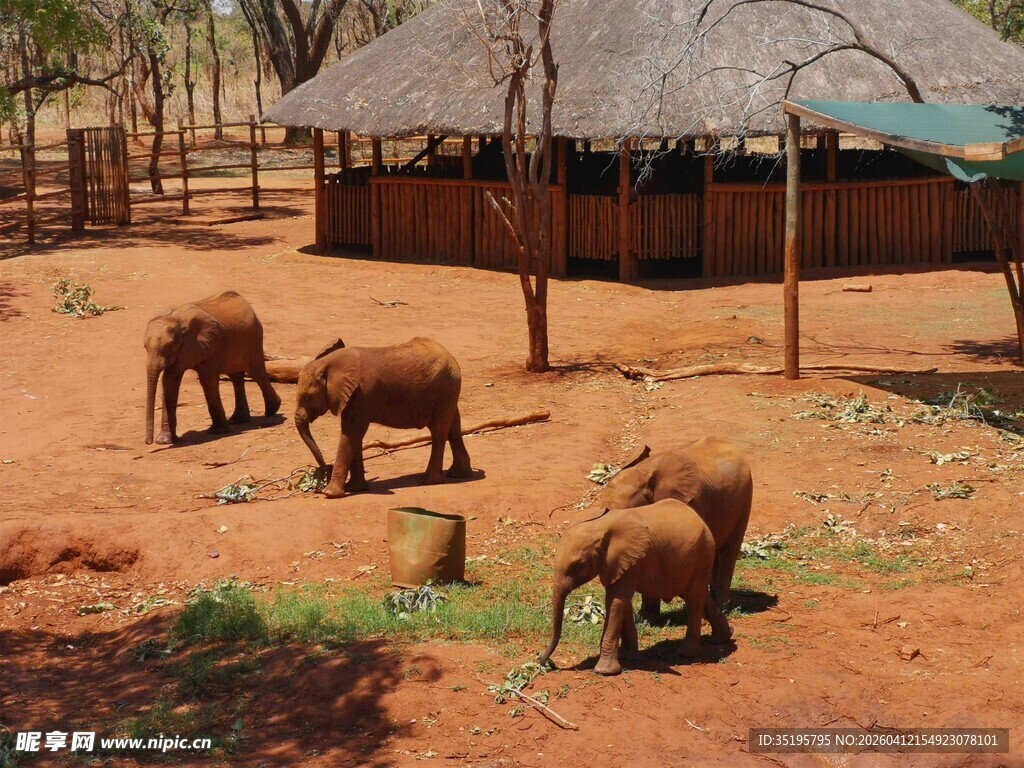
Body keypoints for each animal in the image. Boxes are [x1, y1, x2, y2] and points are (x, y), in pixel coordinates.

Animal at [144, 290, 281, 445]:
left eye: (169, 347)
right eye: (145, 347)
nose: (148, 442)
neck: (176, 319)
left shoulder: (209, 347)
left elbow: (207, 380)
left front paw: (218, 432)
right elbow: (169, 381)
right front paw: (165, 441)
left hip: (254, 338)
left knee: (256, 372)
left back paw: (272, 410)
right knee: (236, 376)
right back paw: (238, 420)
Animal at [294, 336, 472, 499]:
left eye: (307, 398)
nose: (325, 471)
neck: (328, 363)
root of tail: (450, 357)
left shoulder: (361, 394)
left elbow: (352, 433)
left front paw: (329, 493)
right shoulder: (354, 397)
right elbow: (355, 436)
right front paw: (355, 488)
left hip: (444, 390)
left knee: (439, 431)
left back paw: (429, 481)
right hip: (448, 392)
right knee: (454, 427)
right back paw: (458, 474)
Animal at [538, 499, 732, 676]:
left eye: (577, 565)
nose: (546, 662)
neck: (600, 525)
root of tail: (698, 518)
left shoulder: (631, 559)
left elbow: (615, 601)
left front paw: (604, 671)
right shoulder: (618, 564)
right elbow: (620, 601)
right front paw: (628, 656)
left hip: (704, 552)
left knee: (695, 598)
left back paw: (688, 653)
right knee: (698, 596)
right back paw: (722, 639)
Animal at [596, 436, 752, 618]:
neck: (645, 473)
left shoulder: (693, 502)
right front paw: (646, 618)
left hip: (745, 499)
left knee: (729, 550)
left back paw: (720, 607)